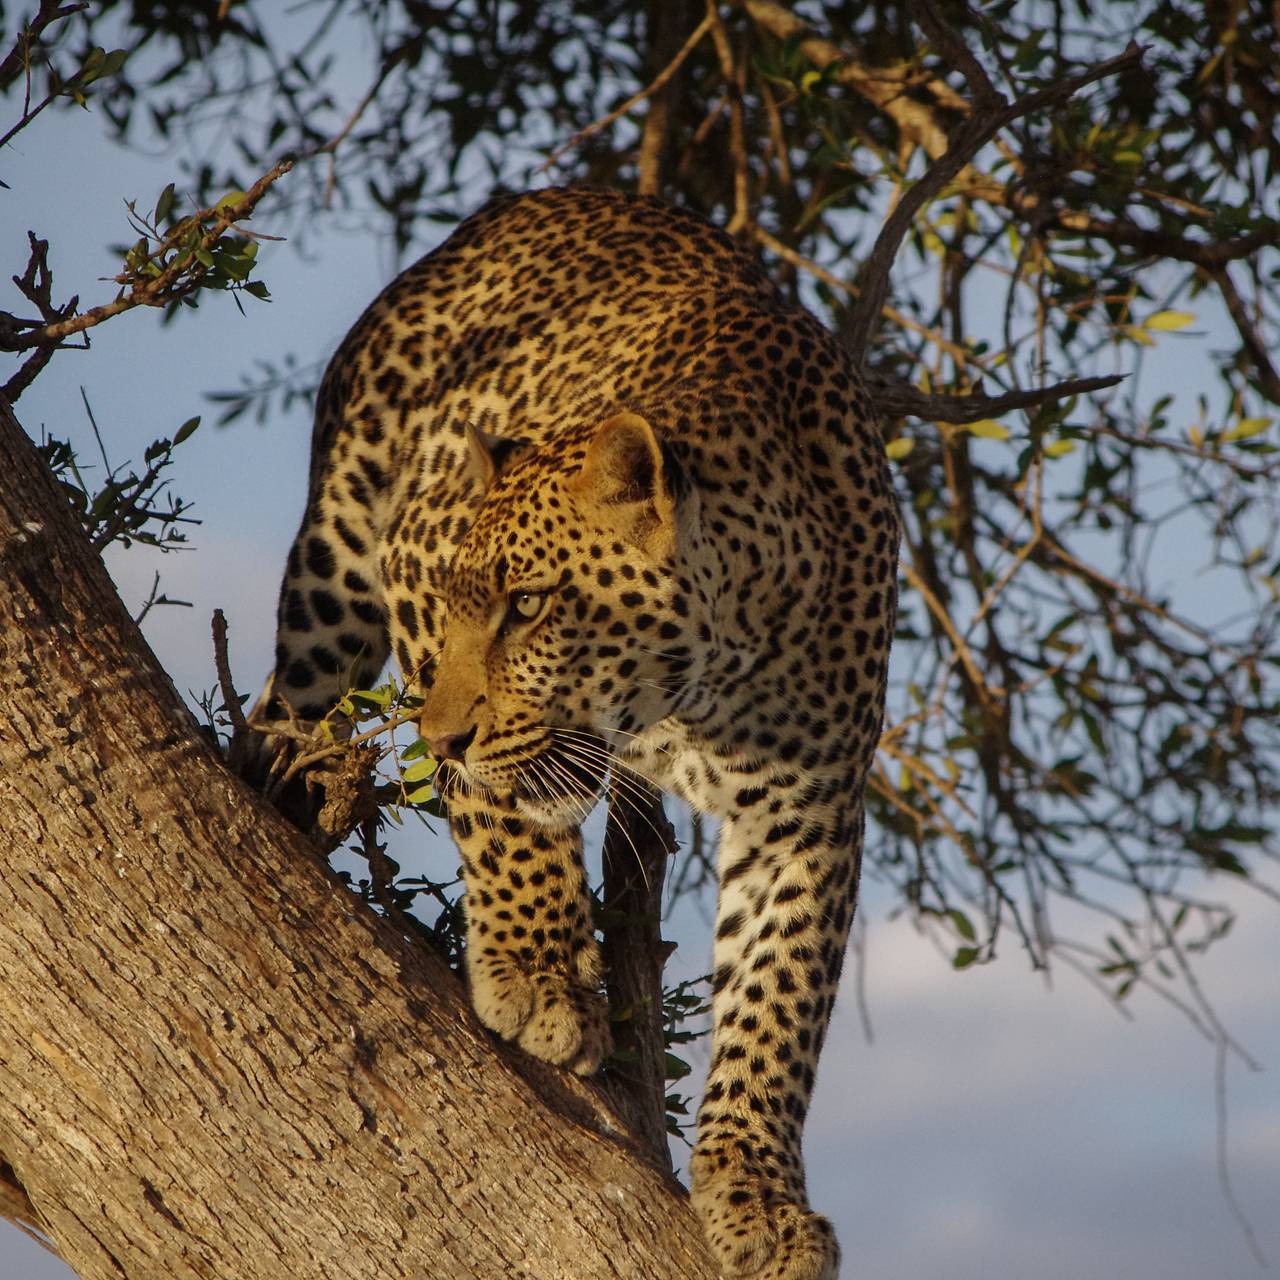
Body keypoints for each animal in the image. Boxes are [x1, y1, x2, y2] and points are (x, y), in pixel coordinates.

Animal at [254, 185, 901, 1274]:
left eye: (526, 607)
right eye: (465, 602)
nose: (440, 736)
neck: (703, 683)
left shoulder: (807, 811)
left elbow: (777, 1002)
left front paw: (757, 1195)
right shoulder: (412, 561)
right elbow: (502, 817)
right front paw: (537, 973)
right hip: (337, 564)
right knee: (280, 700)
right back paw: (288, 779)